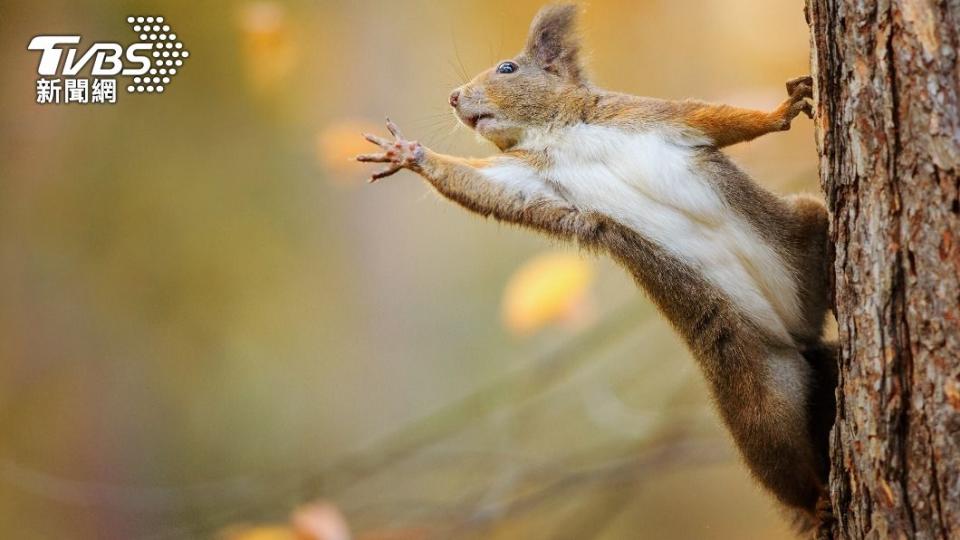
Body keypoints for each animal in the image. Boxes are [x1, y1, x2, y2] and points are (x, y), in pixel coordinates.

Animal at [356, 2, 836, 524]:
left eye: (508, 68)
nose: (453, 96)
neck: (557, 133)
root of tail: (799, 333)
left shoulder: (647, 115)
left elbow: (716, 118)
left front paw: (780, 111)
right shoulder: (528, 179)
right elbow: (482, 188)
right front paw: (411, 154)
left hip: (805, 230)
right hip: (757, 394)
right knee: (780, 456)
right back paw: (818, 501)